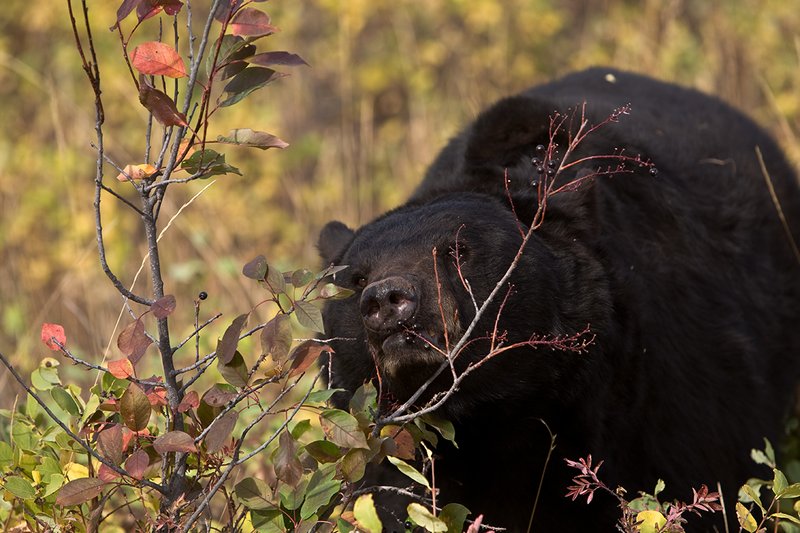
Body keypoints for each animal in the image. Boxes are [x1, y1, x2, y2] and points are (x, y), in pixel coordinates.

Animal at [317, 68, 800, 531]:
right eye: (357, 279)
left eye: (457, 251)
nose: (388, 299)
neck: (501, 415)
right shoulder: (402, 448)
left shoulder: (666, 393)